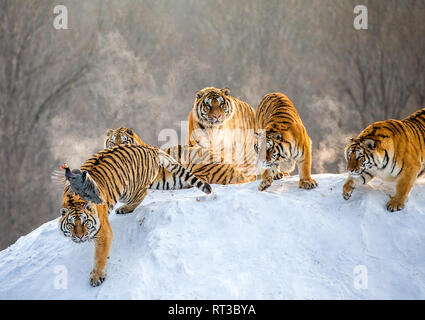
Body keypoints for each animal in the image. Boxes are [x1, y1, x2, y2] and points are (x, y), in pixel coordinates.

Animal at [58, 144, 212, 286]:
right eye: (71, 224)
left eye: (85, 222)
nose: (80, 236)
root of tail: (150, 147)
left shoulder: (103, 233)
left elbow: (99, 257)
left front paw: (97, 276)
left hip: (129, 191)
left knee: (142, 194)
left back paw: (125, 208)